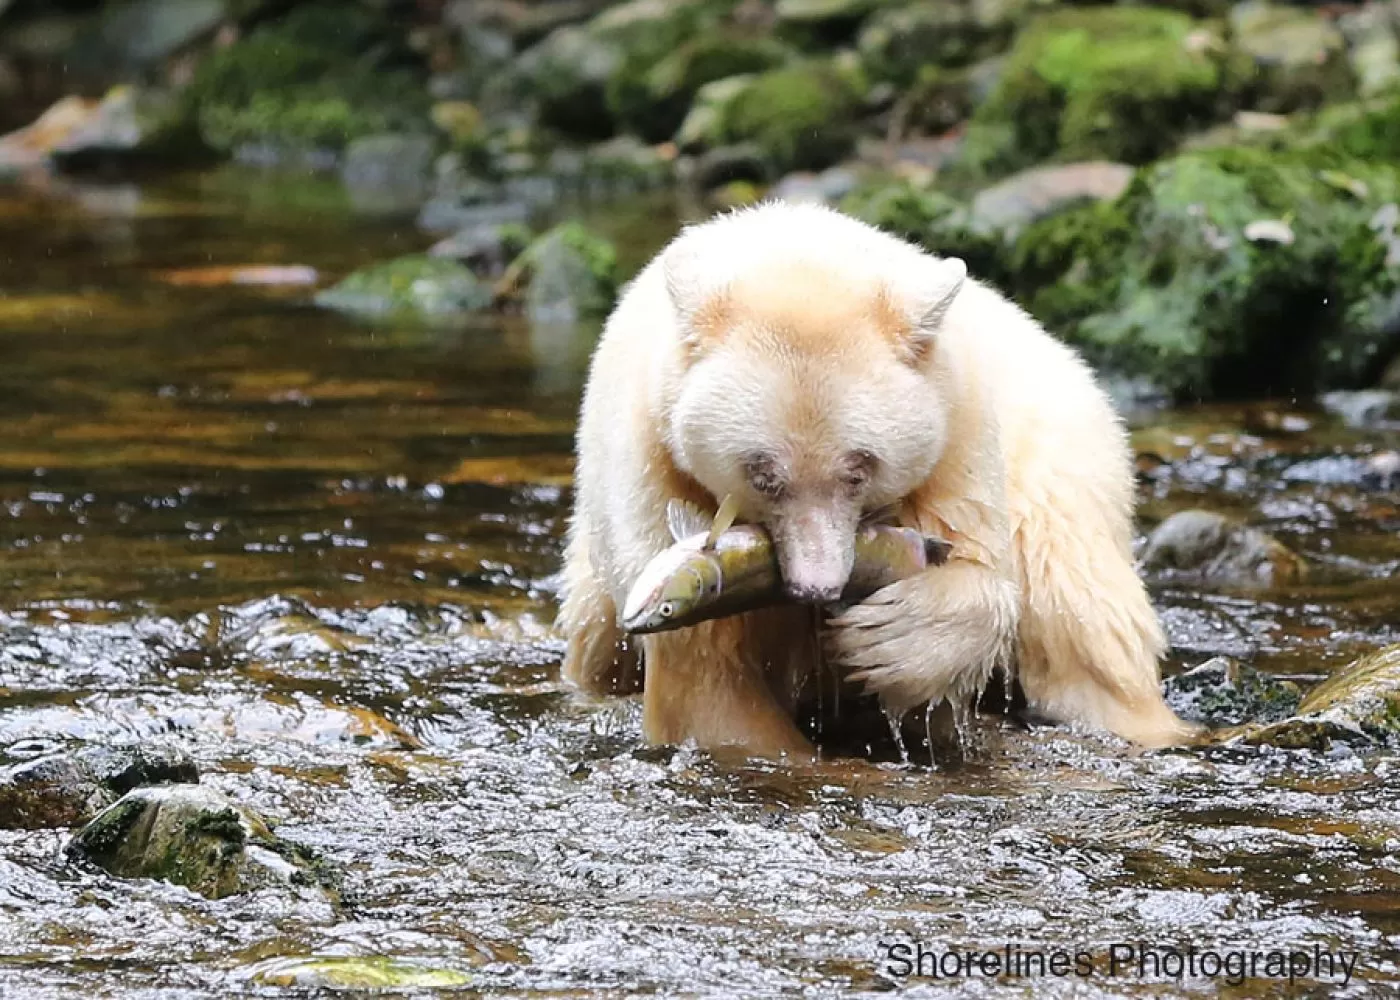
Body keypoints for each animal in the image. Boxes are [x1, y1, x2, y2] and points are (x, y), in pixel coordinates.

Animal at [551, 204, 1198, 761]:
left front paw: (891, 638)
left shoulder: (956, 433)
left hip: (1057, 464)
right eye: (762, 474)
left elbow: (976, 565)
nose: (816, 588)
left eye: (861, 467)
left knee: (1078, 618)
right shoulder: (656, 464)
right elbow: (709, 682)